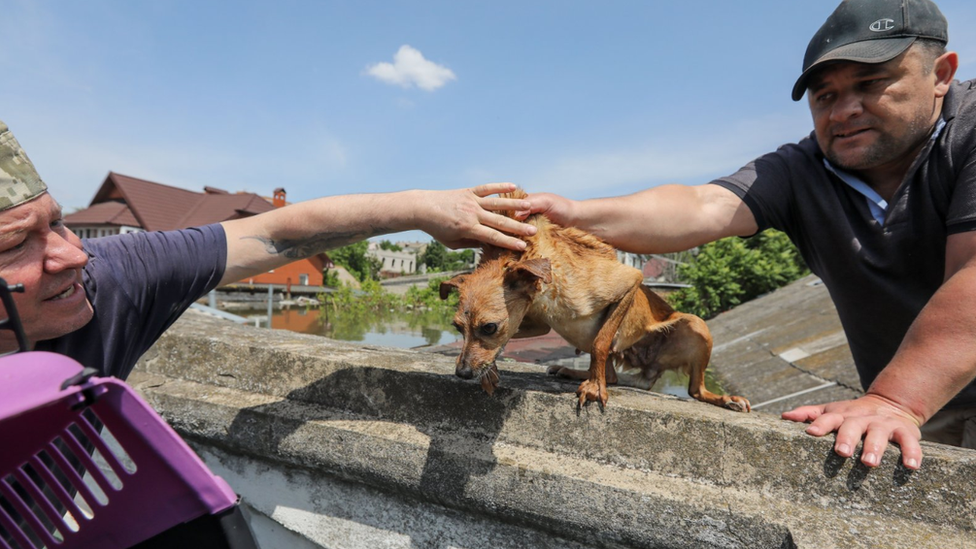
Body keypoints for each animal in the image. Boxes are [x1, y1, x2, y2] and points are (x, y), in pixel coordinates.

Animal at [438, 189, 752, 412]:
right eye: (457, 328)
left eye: (489, 327)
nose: (462, 373)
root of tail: (648, 370)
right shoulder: (536, 323)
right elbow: (508, 341)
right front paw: (490, 371)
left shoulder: (629, 281)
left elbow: (601, 344)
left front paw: (593, 389)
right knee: (612, 374)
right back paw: (572, 371)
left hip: (696, 325)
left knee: (694, 390)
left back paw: (725, 399)